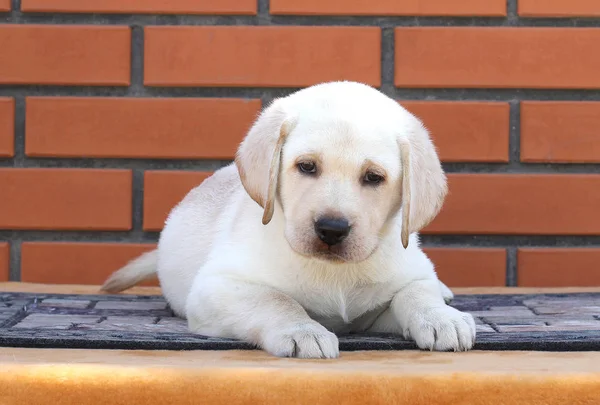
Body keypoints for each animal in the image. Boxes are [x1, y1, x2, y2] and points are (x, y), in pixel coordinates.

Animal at [104, 81, 478, 356]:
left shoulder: (400, 284)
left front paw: (441, 319)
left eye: (374, 177)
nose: (331, 229)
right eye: (307, 166)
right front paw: (303, 331)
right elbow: (275, 300)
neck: (333, 274)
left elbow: (417, 291)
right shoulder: (216, 287)